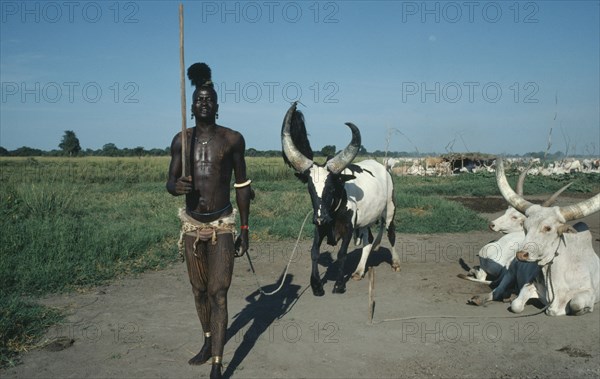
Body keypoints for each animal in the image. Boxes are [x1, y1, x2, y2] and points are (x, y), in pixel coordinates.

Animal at [280, 101, 398, 296]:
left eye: (332, 187)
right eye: (310, 188)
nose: (321, 218)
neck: (334, 212)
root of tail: (384, 168)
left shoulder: (348, 228)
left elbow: (342, 253)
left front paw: (339, 284)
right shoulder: (319, 227)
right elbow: (314, 251)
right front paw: (316, 285)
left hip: (389, 210)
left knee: (391, 234)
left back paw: (395, 263)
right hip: (365, 220)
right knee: (368, 240)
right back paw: (359, 271)